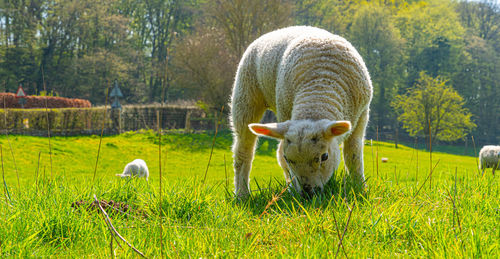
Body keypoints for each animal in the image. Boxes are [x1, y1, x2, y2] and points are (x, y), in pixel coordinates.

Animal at [229, 25, 372, 197]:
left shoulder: (362, 114)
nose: (308, 194)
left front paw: (359, 189)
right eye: (289, 158)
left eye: (324, 157)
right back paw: (242, 194)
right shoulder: (285, 110)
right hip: (245, 95)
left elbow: (353, 155)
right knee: (244, 151)